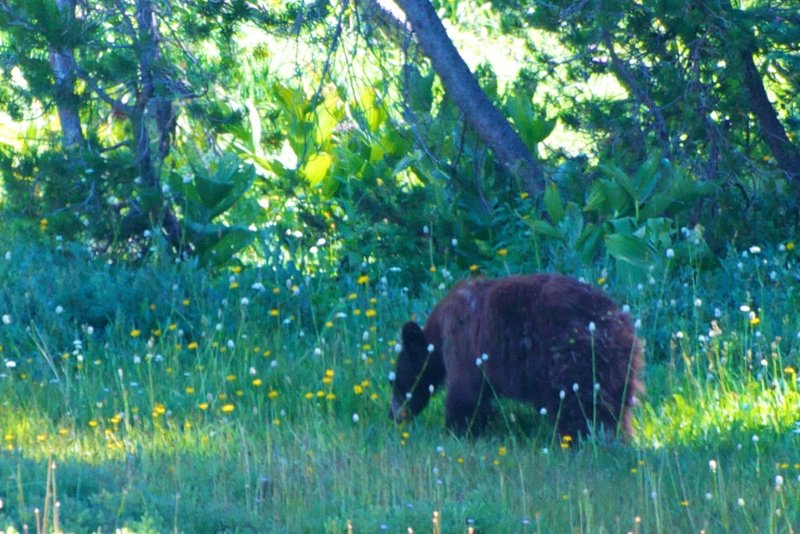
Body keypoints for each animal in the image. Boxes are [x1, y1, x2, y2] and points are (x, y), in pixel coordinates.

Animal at [388, 274, 644, 442]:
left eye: (396, 383)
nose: (393, 416)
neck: (438, 333)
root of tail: (613, 320)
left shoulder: (462, 342)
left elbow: (465, 393)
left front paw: (458, 431)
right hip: (619, 365)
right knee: (615, 404)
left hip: (570, 357)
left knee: (578, 404)